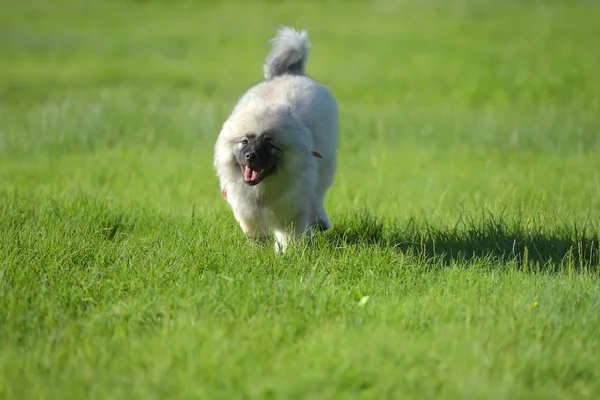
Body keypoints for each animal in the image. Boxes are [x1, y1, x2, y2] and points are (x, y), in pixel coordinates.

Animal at [213, 26, 340, 253]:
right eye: (245, 141)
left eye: (269, 143)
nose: (250, 156)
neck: (263, 189)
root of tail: (290, 73)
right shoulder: (244, 204)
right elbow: (254, 228)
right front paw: (258, 248)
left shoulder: (290, 206)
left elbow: (289, 233)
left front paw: (288, 252)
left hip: (325, 168)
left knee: (317, 198)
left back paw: (320, 222)